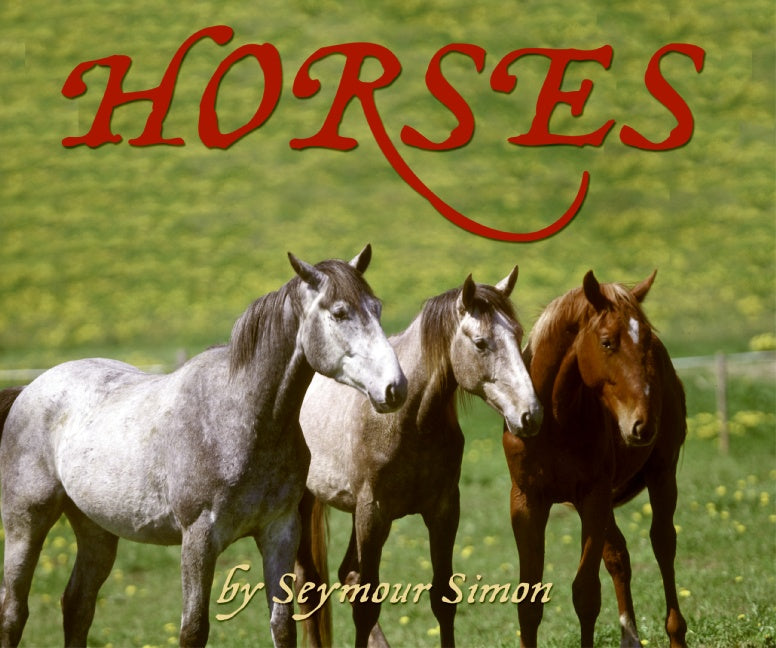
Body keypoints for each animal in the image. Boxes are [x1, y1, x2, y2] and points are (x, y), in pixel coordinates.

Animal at [0, 245, 408, 648]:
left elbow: (282, 625)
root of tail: (29, 389)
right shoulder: (198, 539)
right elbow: (194, 629)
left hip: (96, 529)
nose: (395, 388)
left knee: (77, 605)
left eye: (376, 307)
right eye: (340, 313)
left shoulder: (279, 532)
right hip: (26, 524)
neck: (239, 418)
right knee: (13, 612)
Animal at [294, 267, 543, 648]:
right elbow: (366, 605)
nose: (530, 415)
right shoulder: (373, 513)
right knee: (309, 585)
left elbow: (443, 598)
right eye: (481, 343)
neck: (407, 418)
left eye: (517, 335)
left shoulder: (443, 510)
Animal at [502, 269, 688, 648]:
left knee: (663, 544)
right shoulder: (527, 502)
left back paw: (676, 633)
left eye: (647, 342)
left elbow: (585, 593)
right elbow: (528, 602)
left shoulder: (594, 496)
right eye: (606, 342)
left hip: (662, 475)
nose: (643, 425)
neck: (553, 420)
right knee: (619, 556)